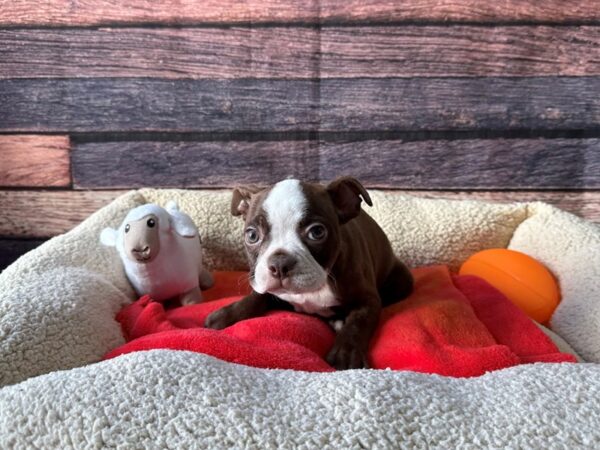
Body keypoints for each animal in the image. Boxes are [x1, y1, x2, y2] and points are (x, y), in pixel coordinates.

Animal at [206, 176, 412, 370]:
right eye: (252, 235)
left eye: (317, 232)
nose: (279, 263)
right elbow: (257, 296)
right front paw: (226, 315)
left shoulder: (368, 300)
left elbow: (357, 324)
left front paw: (346, 353)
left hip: (401, 281)